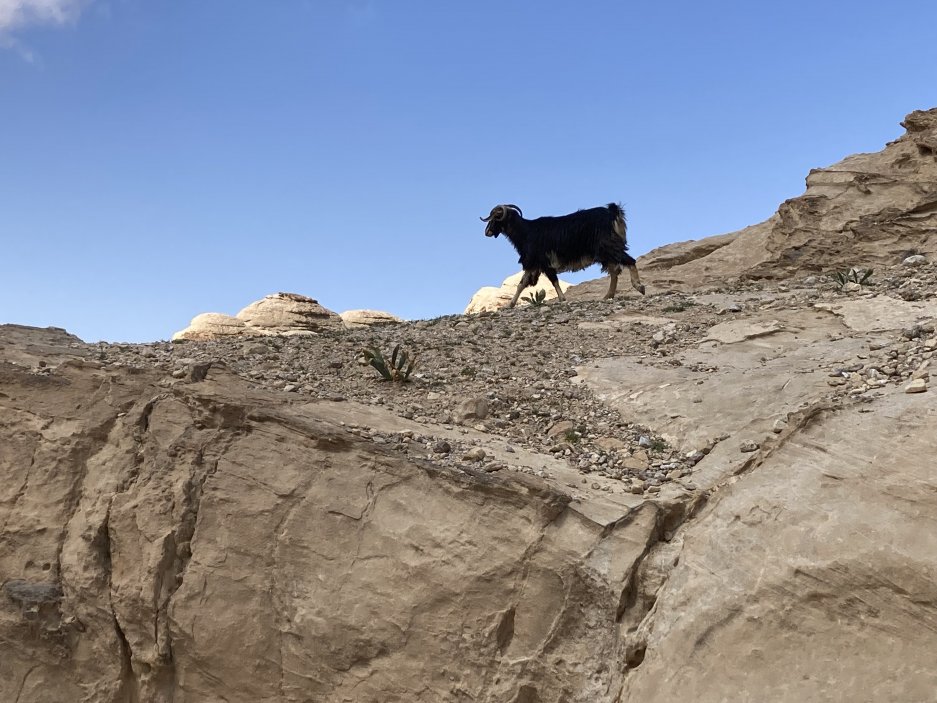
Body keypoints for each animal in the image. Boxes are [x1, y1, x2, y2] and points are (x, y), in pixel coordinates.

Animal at [482, 201, 644, 306]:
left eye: (495, 217)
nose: (487, 232)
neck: (526, 231)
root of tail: (612, 212)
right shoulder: (534, 263)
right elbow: (522, 284)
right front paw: (510, 304)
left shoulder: (541, 261)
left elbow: (553, 280)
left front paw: (562, 299)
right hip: (605, 252)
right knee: (615, 271)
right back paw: (608, 295)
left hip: (608, 246)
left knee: (629, 261)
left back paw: (639, 286)